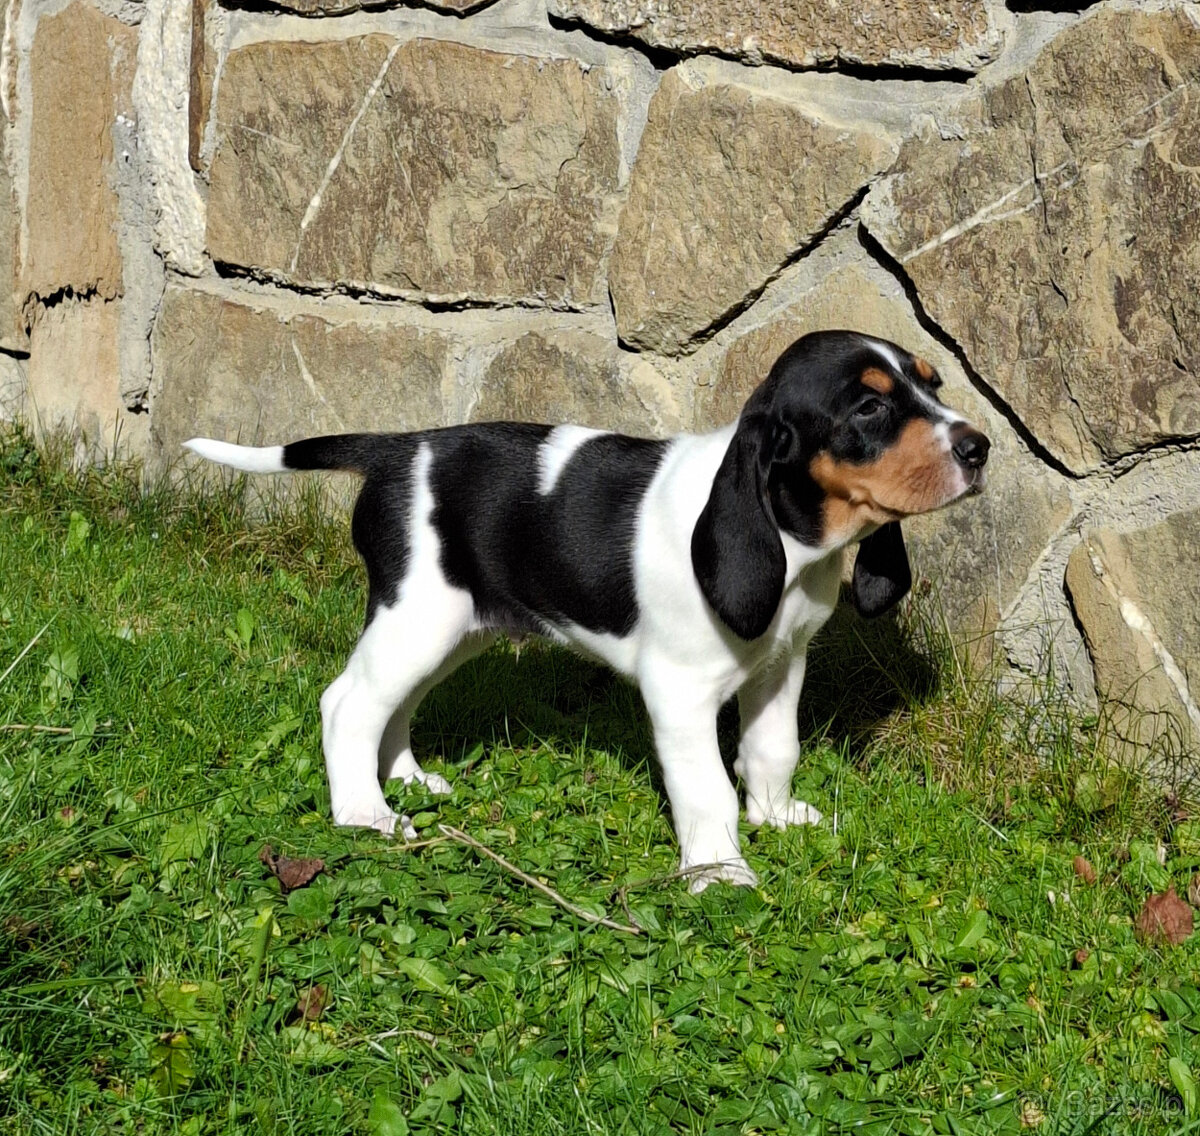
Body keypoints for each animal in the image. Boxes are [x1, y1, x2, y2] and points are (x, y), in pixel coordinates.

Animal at [187, 328, 988, 887]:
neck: (791, 539)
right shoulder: (680, 694)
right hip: (418, 619)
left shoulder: (780, 665)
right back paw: (365, 813)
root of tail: (397, 449)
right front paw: (720, 872)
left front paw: (777, 817)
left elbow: (771, 751)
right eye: (870, 406)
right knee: (347, 704)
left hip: (452, 629)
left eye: (934, 383)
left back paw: (406, 778)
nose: (979, 446)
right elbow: (707, 791)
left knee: (394, 703)